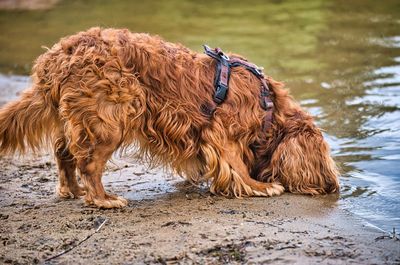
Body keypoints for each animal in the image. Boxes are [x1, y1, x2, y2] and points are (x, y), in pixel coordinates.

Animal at [0, 27, 338, 207]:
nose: (330, 188)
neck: (269, 105)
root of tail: (55, 57)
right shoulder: (222, 132)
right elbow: (237, 165)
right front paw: (260, 186)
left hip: (76, 119)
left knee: (64, 154)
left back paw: (73, 190)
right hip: (112, 118)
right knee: (89, 164)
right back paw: (103, 198)